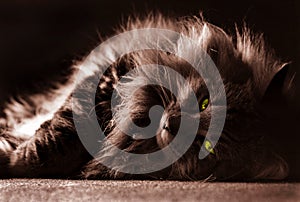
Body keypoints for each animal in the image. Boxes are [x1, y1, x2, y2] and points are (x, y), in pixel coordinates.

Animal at [0, 13, 292, 181]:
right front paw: (12, 155)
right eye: (204, 102)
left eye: (206, 146)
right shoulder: (111, 76)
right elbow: (56, 140)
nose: (171, 125)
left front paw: (9, 156)